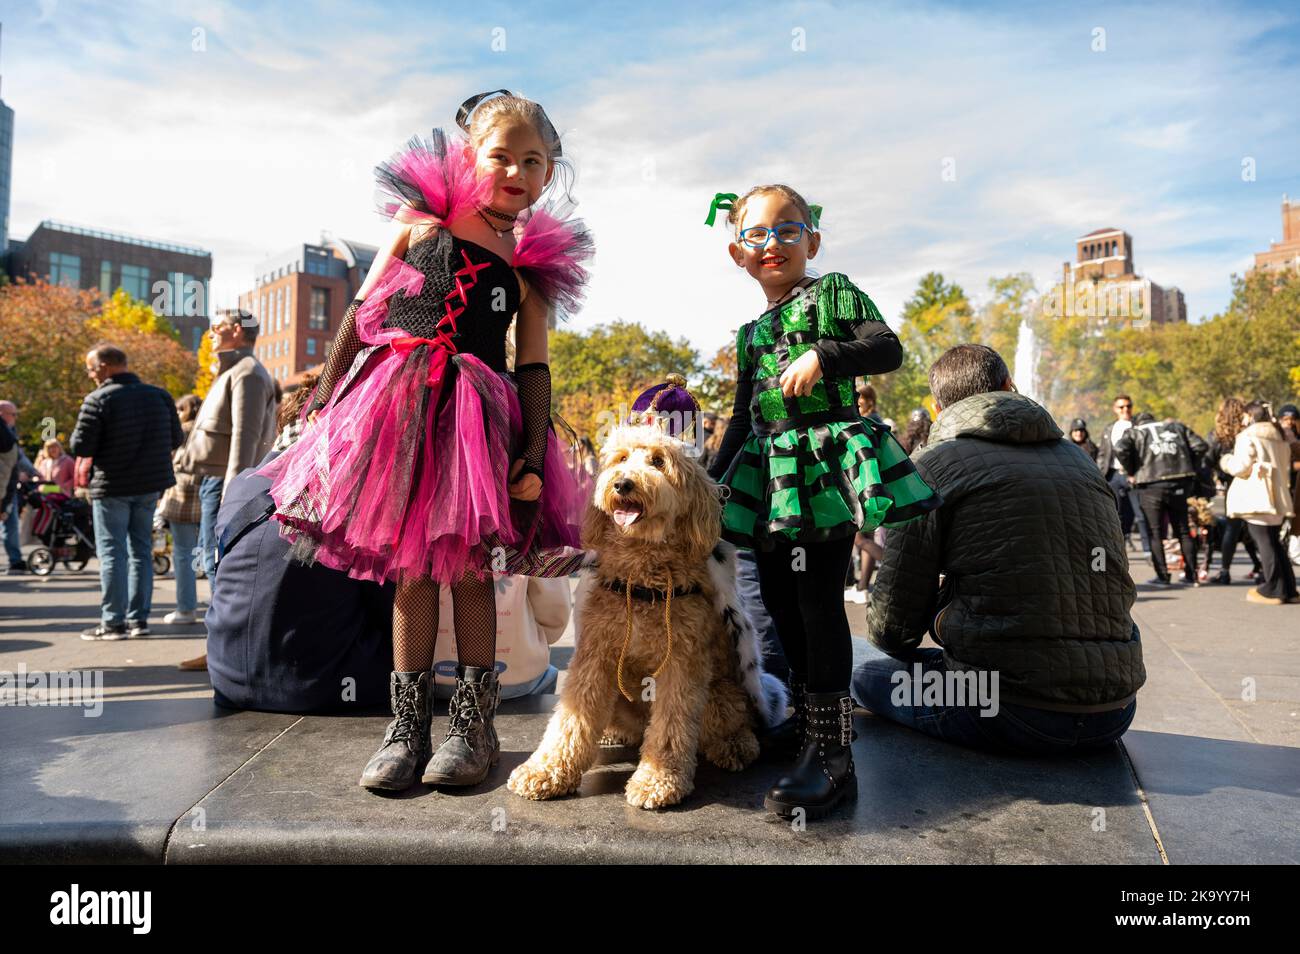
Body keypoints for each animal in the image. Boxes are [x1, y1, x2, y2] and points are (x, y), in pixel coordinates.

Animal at [506, 426, 785, 805]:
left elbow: (671, 725)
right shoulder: (595, 655)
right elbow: (571, 719)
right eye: (621, 458)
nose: (622, 483)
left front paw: (657, 779)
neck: (640, 576)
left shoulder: (681, 663)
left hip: (722, 692)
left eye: (658, 461)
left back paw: (736, 744)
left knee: (729, 720)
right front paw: (546, 770)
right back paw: (613, 733)